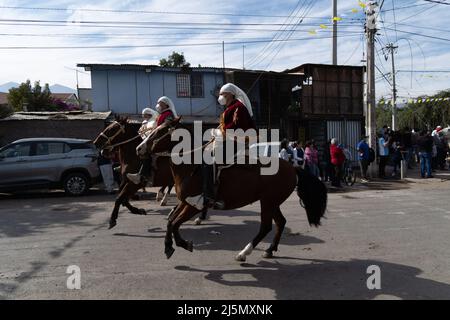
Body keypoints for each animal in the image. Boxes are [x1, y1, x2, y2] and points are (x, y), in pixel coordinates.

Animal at [139, 119, 328, 262]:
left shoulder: (194, 204)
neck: (190, 165)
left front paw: (183, 244)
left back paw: (244, 253)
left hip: (268, 202)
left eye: (162, 130)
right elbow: (171, 221)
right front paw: (168, 246)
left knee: (266, 226)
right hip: (272, 202)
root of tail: (293, 168)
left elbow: (175, 224)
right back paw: (269, 250)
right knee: (280, 222)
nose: (139, 148)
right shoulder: (185, 201)